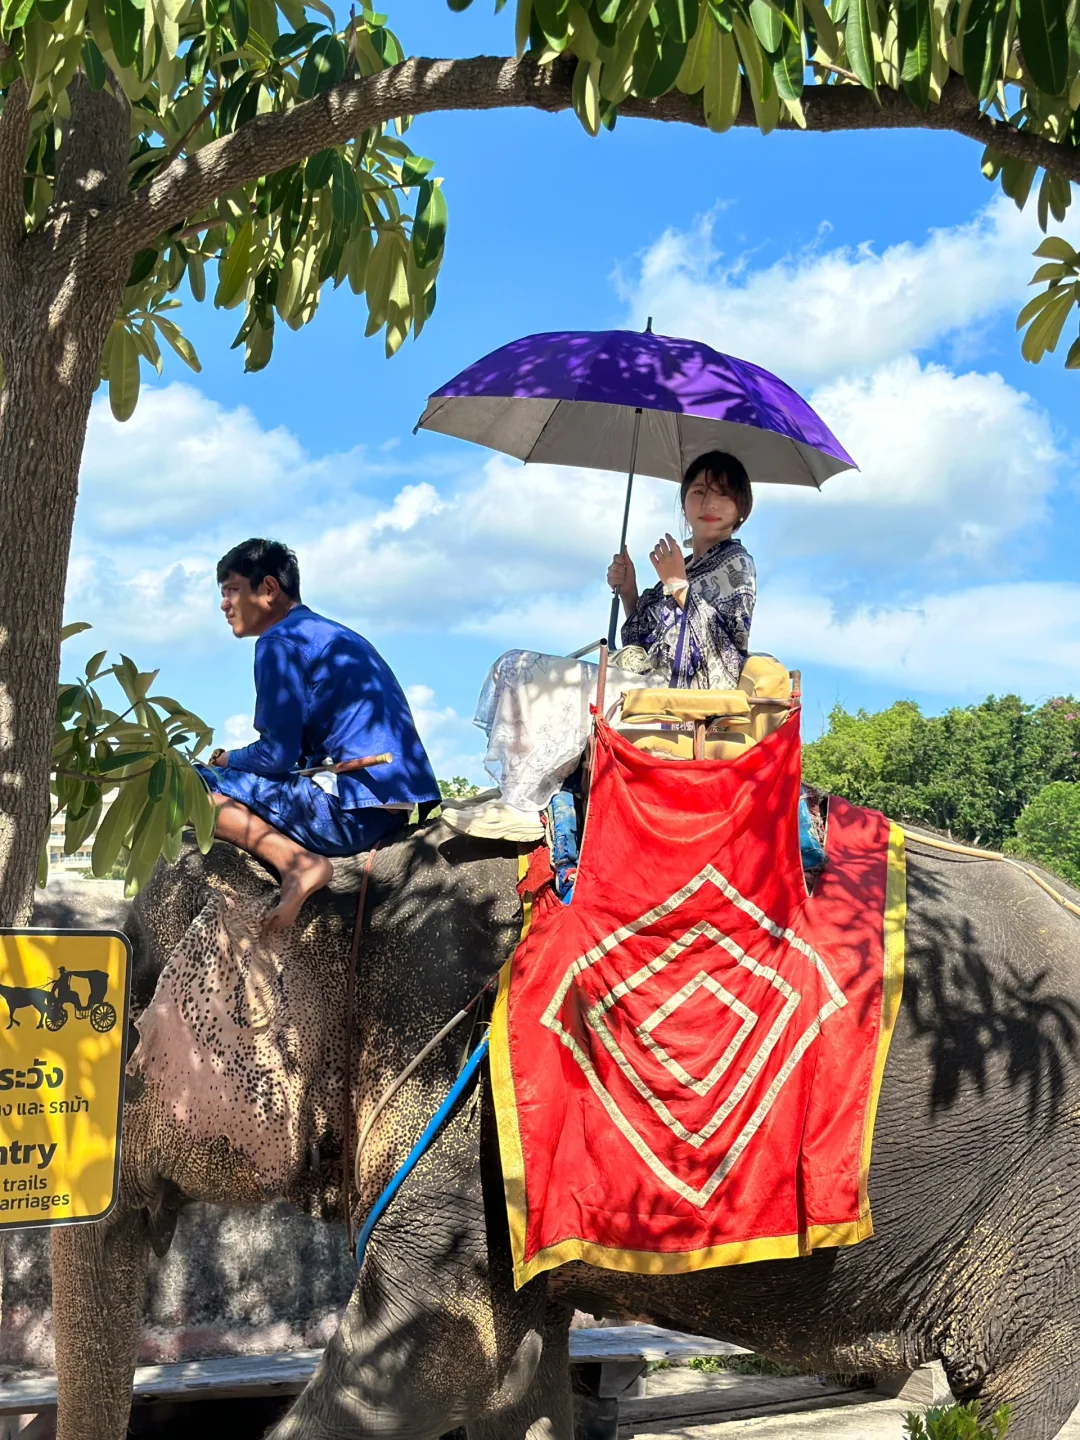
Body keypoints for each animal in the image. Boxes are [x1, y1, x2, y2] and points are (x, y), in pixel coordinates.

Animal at [48, 823, 1080, 1440]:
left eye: (125, 1022)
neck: (356, 882)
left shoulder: (465, 1106)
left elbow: (434, 1353)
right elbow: (517, 1375)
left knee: (1013, 1394)